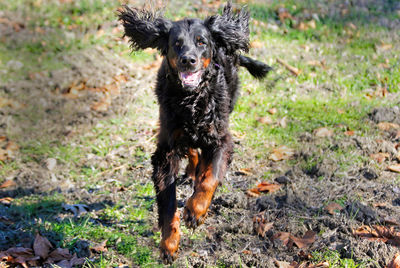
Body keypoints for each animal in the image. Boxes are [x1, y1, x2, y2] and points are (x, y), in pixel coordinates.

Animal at [118, 1, 268, 262]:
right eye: (176, 43)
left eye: (201, 42)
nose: (188, 60)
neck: (192, 99)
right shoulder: (166, 150)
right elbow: (168, 204)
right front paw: (169, 244)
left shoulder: (221, 139)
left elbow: (211, 179)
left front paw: (195, 211)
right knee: (191, 150)